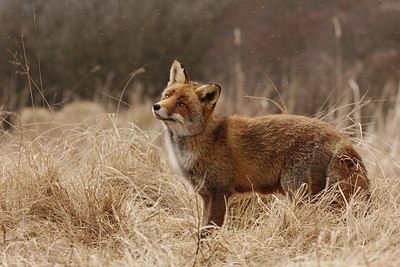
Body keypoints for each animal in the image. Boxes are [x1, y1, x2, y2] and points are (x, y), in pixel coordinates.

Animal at [152, 60, 370, 237]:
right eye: (167, 95)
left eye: (182, 104)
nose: (156, 106)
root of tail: (340, 136)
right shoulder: (206, 195)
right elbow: (203, 228)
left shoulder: (219, 193)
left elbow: (209, 231)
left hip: (299, 191)